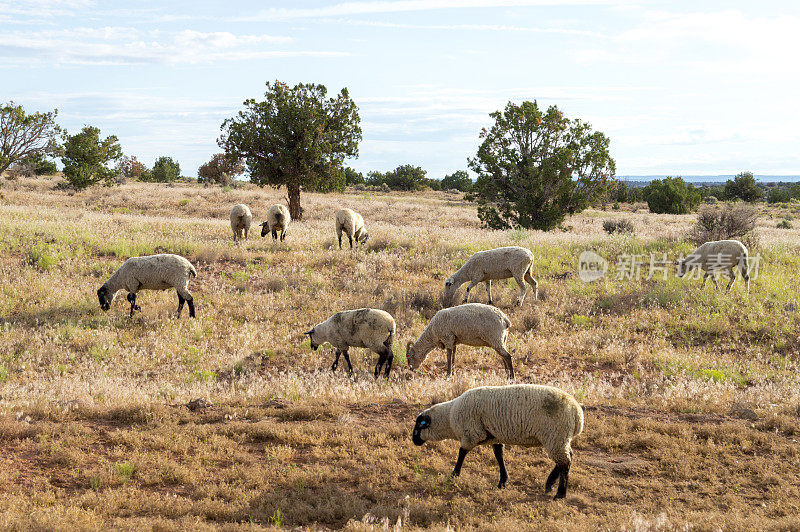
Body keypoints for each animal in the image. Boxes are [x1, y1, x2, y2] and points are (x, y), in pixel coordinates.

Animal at [412, 382, 580, 498]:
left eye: (419, 426)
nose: (414, 441)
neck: (449, 418)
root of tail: (577, 412)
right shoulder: (494, 436)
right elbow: (499, 456)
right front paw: (503, 481)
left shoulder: (470, 434)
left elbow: (461, 453)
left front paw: (454, 474)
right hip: (560, 437)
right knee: (568, 457)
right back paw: (550, 484)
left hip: (555, 435)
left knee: (565, 462)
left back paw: (560, 493)